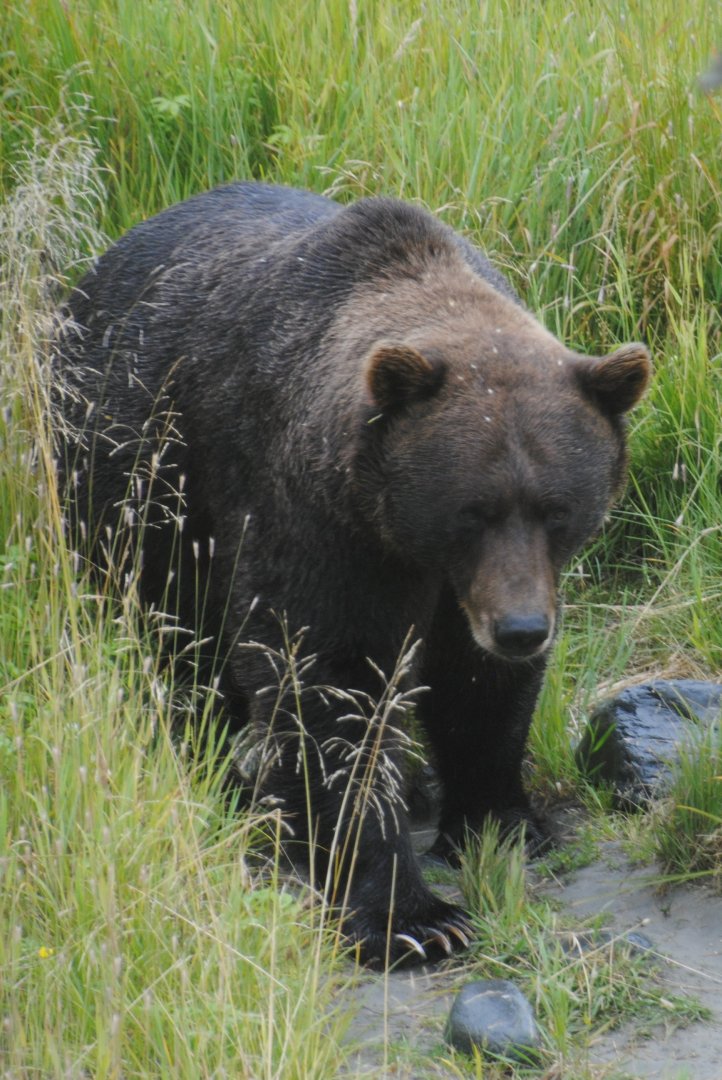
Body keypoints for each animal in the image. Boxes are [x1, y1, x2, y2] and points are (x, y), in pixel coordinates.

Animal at [54, 182, 651, 966]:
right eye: (472, 510)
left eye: (557, 509)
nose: (521, 629)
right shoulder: (313, 517)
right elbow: (328, 686)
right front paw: (413, 916)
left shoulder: (470, 585)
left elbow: (477, 689)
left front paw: (500, 822)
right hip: (133, 488)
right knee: (173, 653)